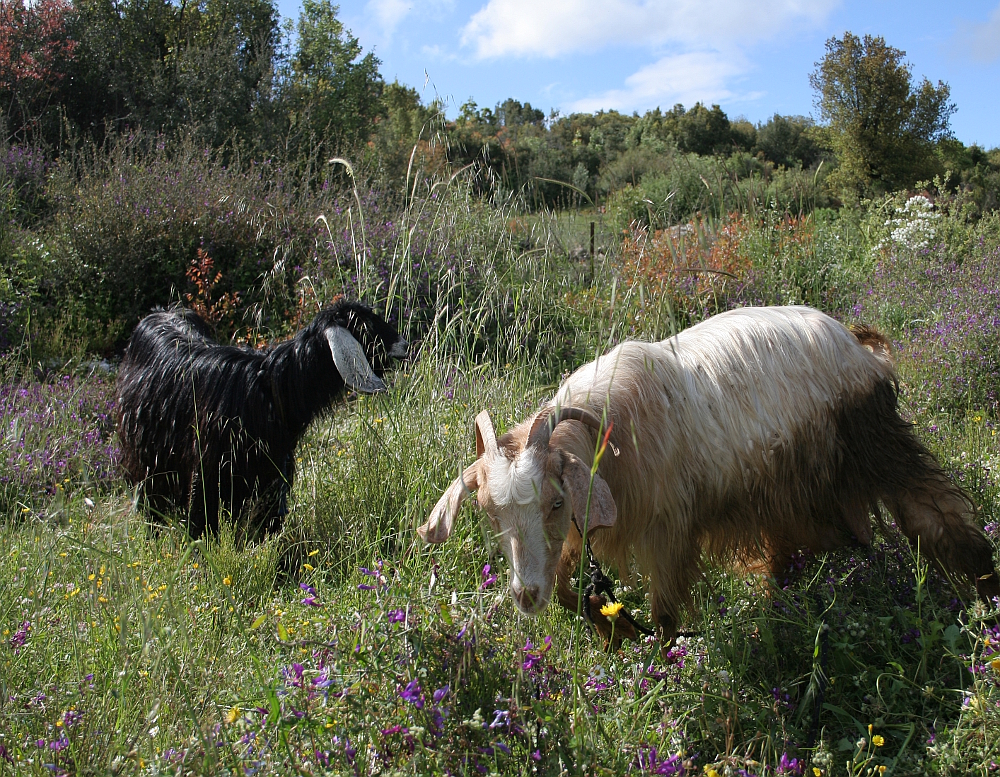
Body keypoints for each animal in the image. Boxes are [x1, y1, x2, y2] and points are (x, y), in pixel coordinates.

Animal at [117, 300, 408, 538]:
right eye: (365, 327)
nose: (403, 345)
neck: (269, 385)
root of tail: (159, 312)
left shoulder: (273, 477)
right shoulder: (207, 475)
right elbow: (201, 528)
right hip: (146, 466)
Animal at [418, 306, 999, 645]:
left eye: (555, 502)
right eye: (489, 513)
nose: (524, 597)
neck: (615, 430)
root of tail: (862, 347)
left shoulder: (670, 529)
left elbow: (667, 616)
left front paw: (661, 668)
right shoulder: (585, 534)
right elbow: (568, 589)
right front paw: (614, 629)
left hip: (874, 443)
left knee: (936, 514)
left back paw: (984, 595)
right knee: (803, 548)